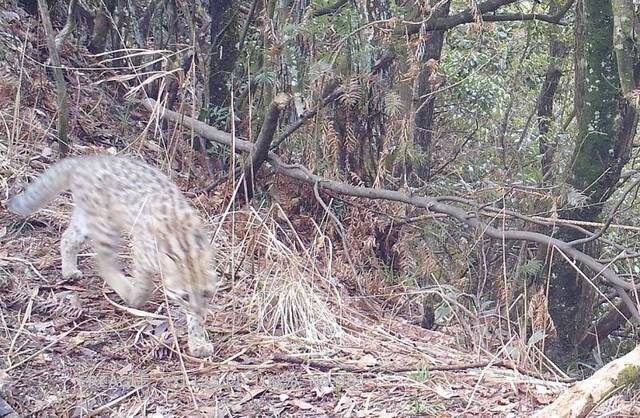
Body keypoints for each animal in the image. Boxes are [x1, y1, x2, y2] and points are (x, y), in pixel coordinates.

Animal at [6, 155, 219, 358]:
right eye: (185, 296)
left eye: (206, 293)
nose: (200, 310)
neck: (185, 243)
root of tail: (85, 160)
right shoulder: (142, 250)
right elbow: (145, 285)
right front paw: (137, 298)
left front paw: (198, 341)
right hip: (104, 224)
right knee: (102, 262)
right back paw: (124, 289)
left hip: (87, 219)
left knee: (68, 238)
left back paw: (69, 270)